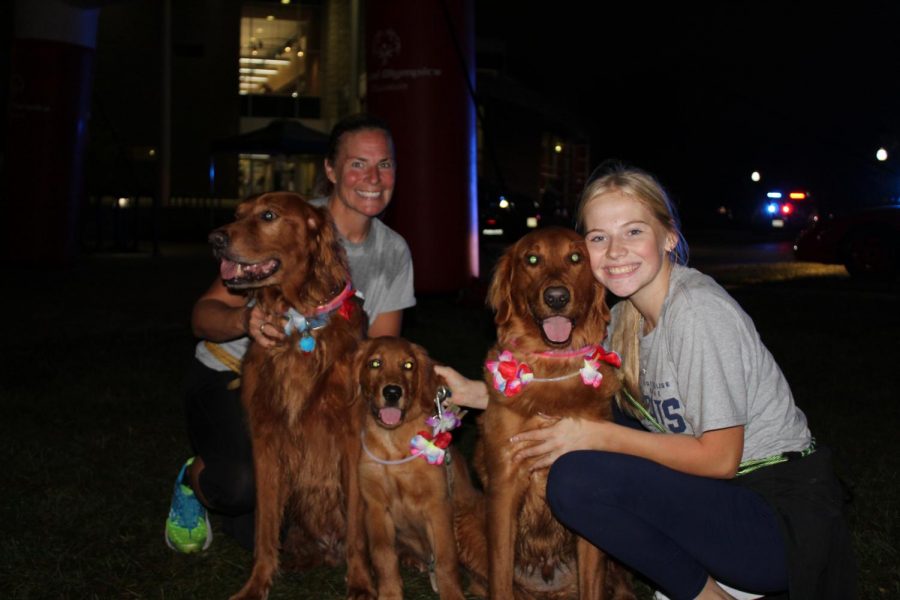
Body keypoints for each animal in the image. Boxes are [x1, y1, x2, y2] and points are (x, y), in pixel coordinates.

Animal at [209, 192, 374, 600]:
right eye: (237, 213)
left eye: (269, 215)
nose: (215, 239)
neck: (297, 323)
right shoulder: (266, 441)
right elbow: (265, 526)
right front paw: (257, 583)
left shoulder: (351, 441)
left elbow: (357, 528)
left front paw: (361, 582)